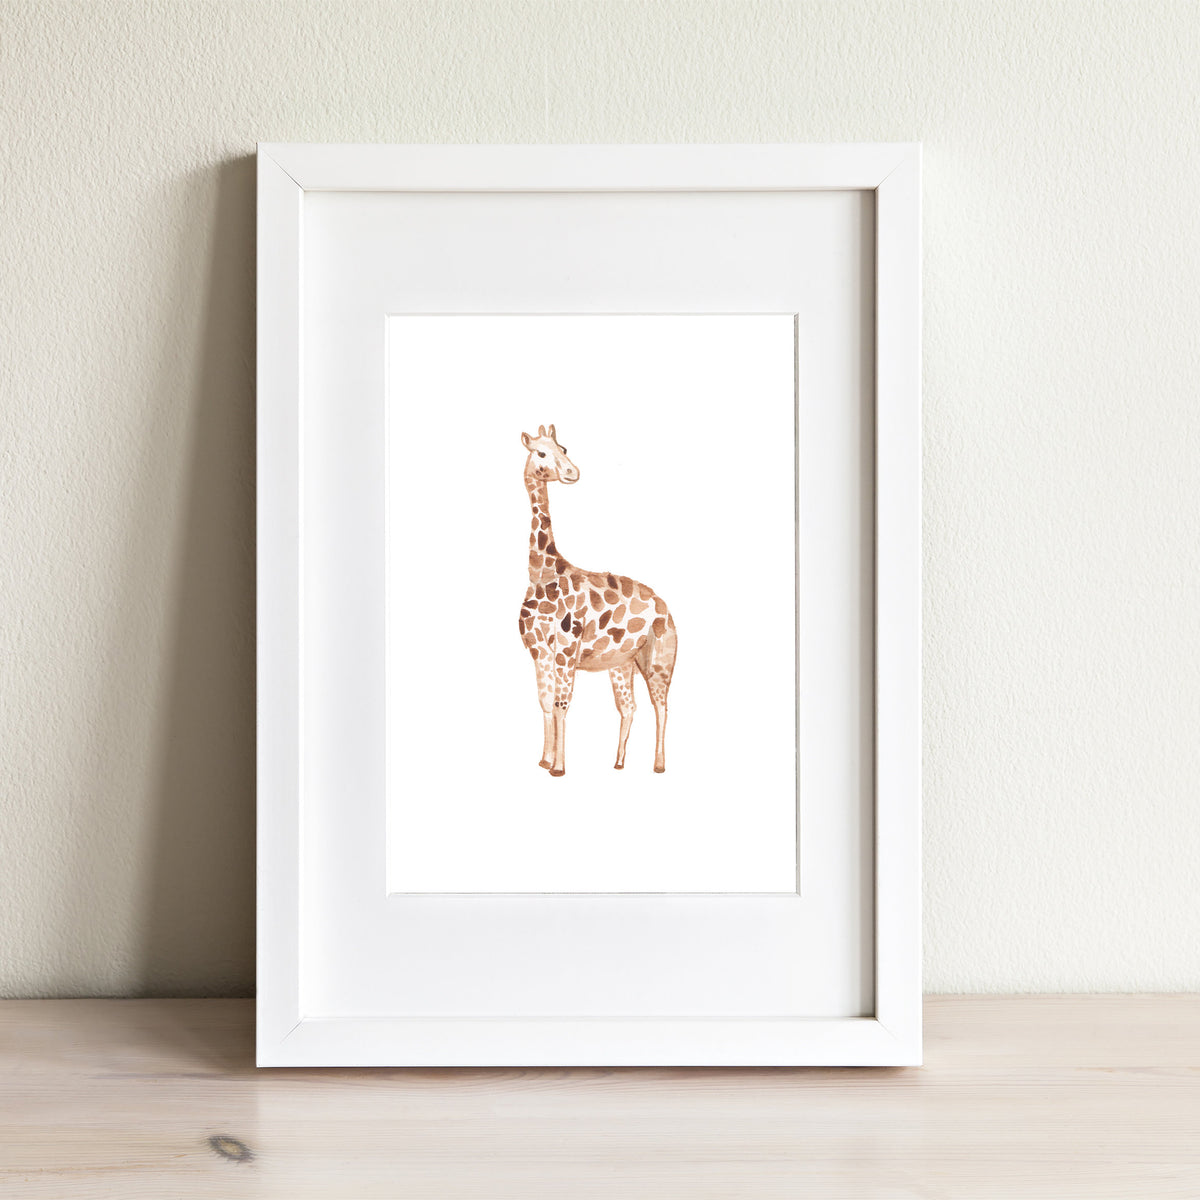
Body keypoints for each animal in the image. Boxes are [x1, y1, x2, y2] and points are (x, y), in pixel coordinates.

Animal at [517, 425, 677, 777]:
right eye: (541, 452)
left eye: (563, 448)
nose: (572, 472)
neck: (540, 574)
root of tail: (664, 605)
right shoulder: (538, 650)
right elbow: (546, 702)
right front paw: (544, 759)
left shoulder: (566, 649)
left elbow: (561, 705)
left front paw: (558, 767)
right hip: (621, 662)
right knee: (629, 706)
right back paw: (618, 762)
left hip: (660, 657)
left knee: (661, 704)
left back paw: (659, 765)